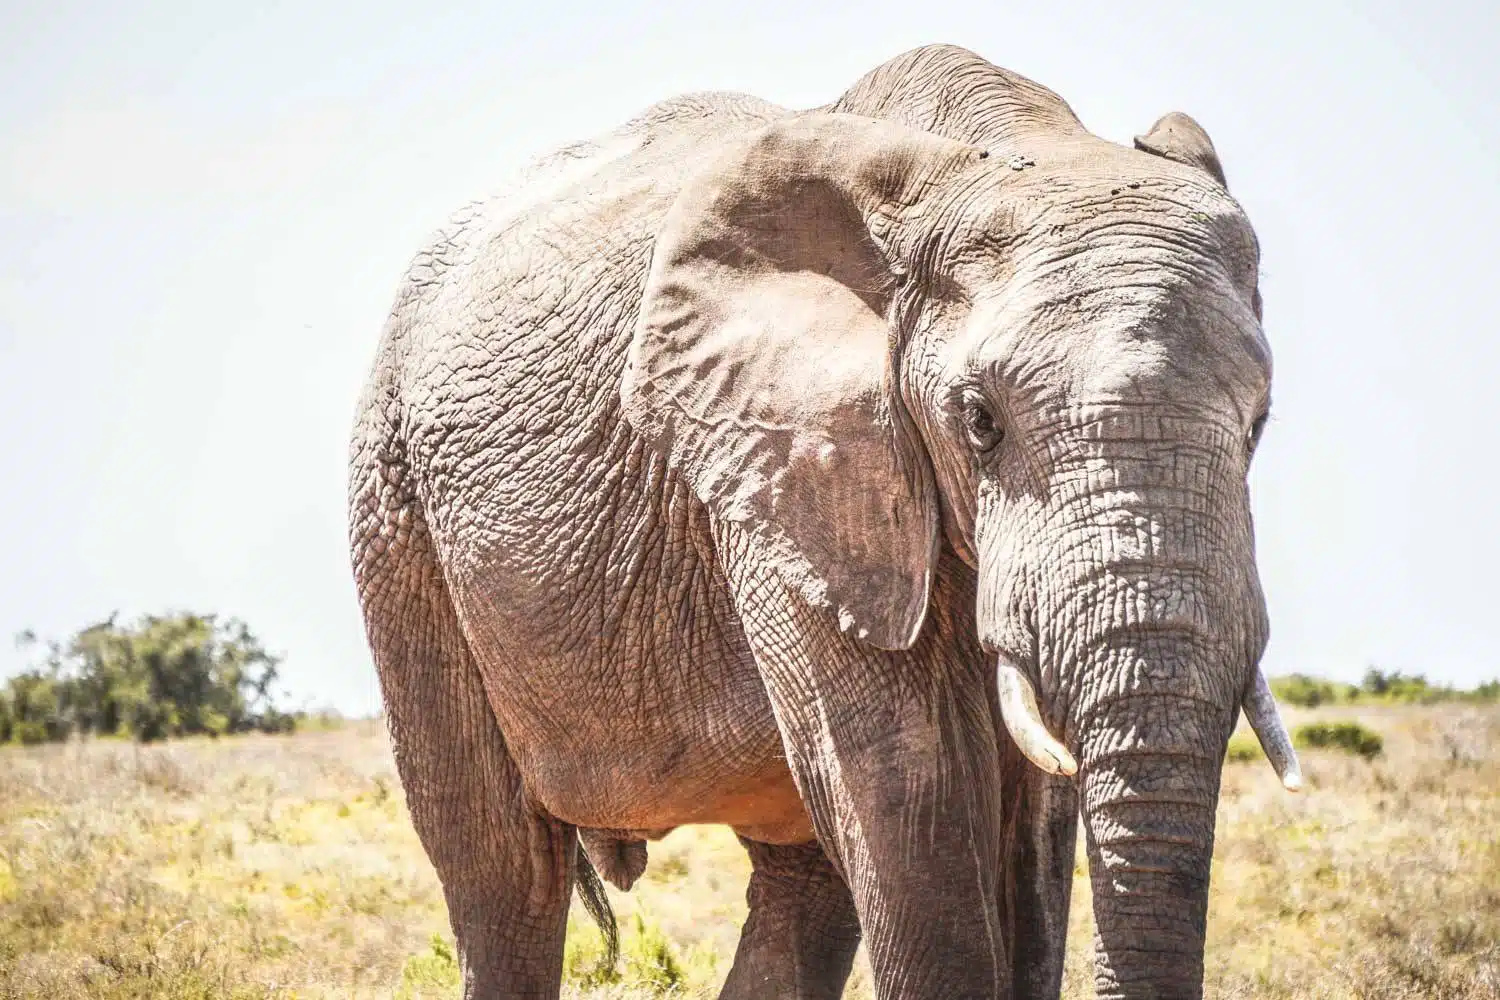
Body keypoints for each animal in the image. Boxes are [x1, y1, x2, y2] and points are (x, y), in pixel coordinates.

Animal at [348, 43, 1302, 1000]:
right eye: (980, 422)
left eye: (1259, 424)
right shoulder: (780, 471)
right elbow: (908, 784)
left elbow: (1035, 808)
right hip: (395, 512)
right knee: (505, 872)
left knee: (799, 886)